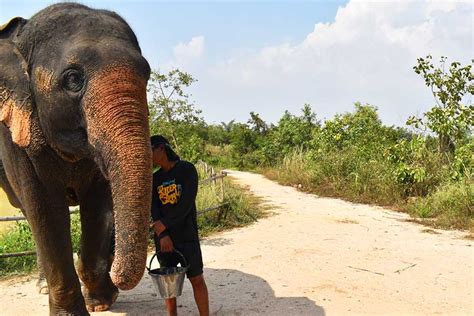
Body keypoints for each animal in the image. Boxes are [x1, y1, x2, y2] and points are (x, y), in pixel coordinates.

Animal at [0, 3, 151, 316]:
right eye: (72, 79)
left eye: (147, 74)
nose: (118, 276)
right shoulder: (15, 136)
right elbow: (45, 208)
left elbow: (99, 201)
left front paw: (102, 302)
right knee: (29, 214)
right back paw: (43, 286)